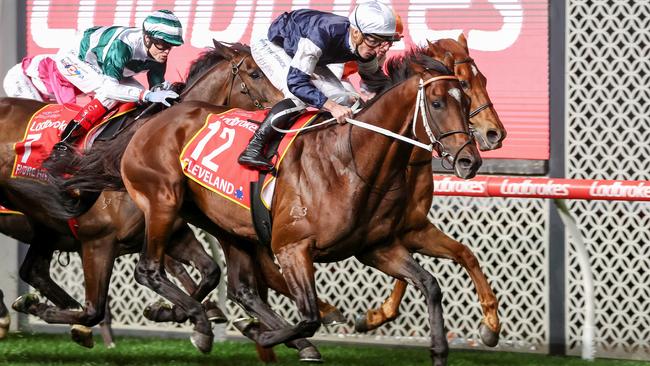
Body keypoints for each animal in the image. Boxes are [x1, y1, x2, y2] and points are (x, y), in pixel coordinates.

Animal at [354, 35, 502, 348]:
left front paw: (491, 325)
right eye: (464, 83)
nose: (496, 133)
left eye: (483, 79)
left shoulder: (410, 228)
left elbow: (464, 254)